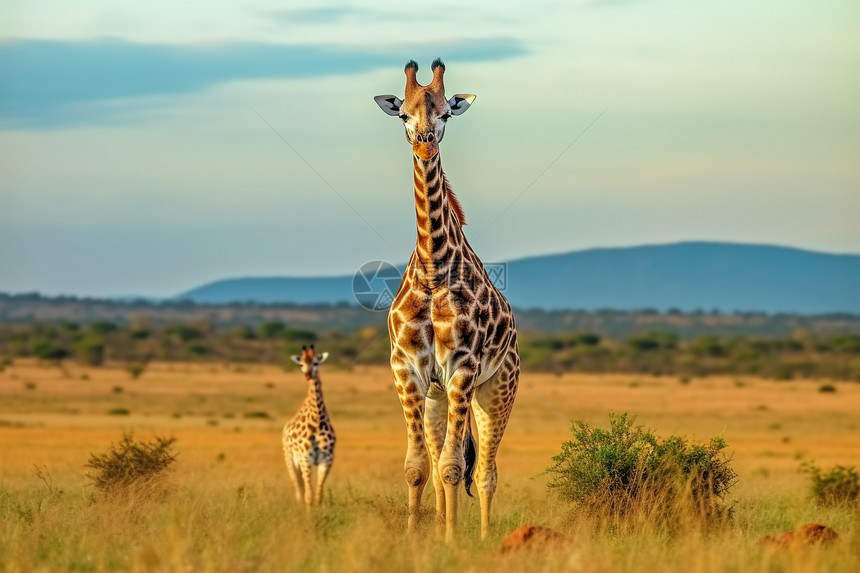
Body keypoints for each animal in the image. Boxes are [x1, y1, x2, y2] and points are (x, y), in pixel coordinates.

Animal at [282, 344, 336, 504]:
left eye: (316, 363)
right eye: (301, 364)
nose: (307, 375)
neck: (318, 418)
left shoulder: (326, 460)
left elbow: (318, 496)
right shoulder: (305, 459)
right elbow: (309, 496)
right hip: (290, 459)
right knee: (298, 488)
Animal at [374, 59, 520, 540]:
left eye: (446, 113)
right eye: (403, 114)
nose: (424, 143)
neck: (434, 269)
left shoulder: (463, 369)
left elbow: (456, 467)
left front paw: (454, 542)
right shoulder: (407, 369)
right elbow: (420, 467)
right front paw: (419, 537)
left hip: (497, 387)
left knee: (486, 471)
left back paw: (485, 536)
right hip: (439, 395)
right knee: (442, 466)